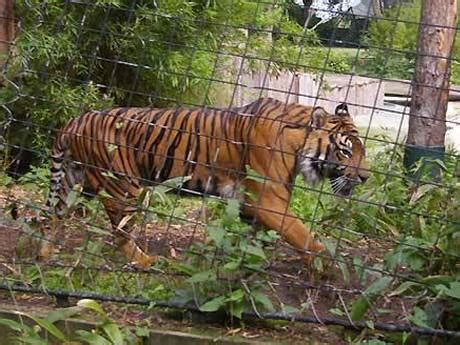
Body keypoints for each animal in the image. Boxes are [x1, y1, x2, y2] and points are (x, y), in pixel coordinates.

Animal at [43, 97, 370, 266]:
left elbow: (258, 236)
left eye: (362, 150)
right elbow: (303, 235)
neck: (298, 145)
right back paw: (146, 261)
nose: (365, 177)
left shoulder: (252, 203)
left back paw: (44, 253)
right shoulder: (269, 199)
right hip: (123, 187)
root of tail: (74, 121)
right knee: (120, 233)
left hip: (73, 182)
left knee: (53, 217)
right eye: (346, 150)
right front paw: (329, 269)